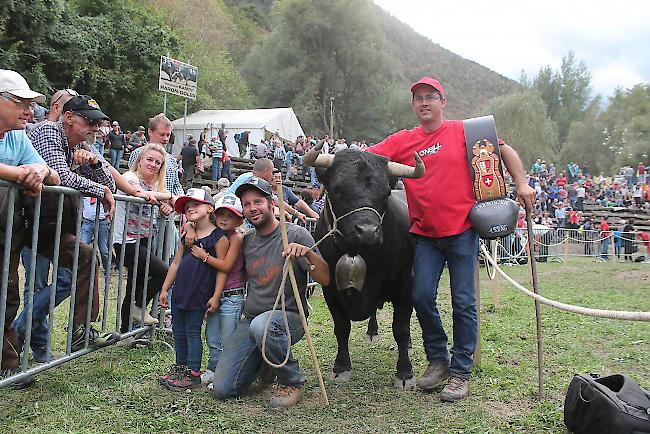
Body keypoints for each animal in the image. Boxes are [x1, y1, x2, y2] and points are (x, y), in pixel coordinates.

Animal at [306, 144, 426, 388]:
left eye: (385, 193)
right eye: (337, 189)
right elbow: (341, 328)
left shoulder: (405, 285)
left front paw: (405, 373)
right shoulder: (330, 289)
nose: (368, 231)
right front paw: (341, 367)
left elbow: (401, 328)